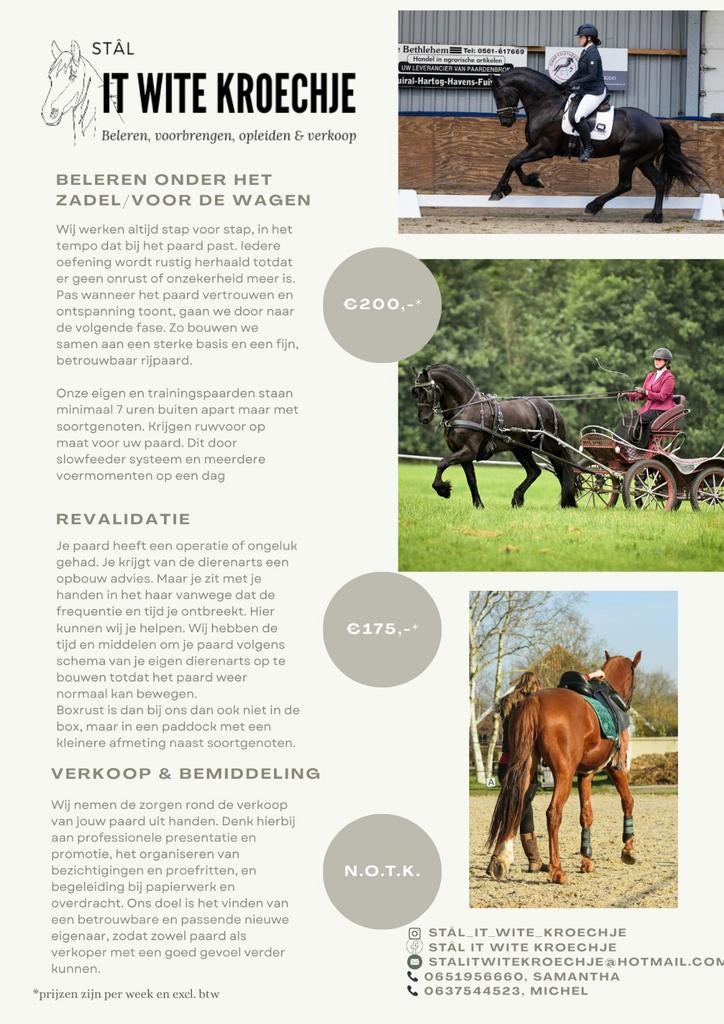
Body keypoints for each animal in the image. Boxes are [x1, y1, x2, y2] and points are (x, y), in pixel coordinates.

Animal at [411, 364, 578, 509]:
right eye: (416, 392)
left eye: (428, 390)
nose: (423, 418)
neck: (465, 409)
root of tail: (552, 408)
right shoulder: (463, 454)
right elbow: (471, 480)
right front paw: (478, 505)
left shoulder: (468, 451)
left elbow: (442, 463)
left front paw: (443, 489)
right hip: (520, 449)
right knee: (534, 471)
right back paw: (517, 498)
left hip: (552, 447)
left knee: (561, 469)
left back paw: (567, 503)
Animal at [487, 651, 641, 885]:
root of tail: (534, 701)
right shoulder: (616, 768)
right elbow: (628, 802)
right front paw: (628, 849)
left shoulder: (585, 774)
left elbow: (586, 814)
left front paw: (586, 859)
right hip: (563, 774)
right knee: (553, 813)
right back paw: (556, 869)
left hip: (526, 768)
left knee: (515, 805)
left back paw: (501, 860)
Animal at [489, 67, 703, 223]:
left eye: (501, 95)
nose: (505, 122)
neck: (547, 106)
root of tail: (657, 123)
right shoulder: (534, 146)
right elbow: (514, 162)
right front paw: (531, 181)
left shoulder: (544, 149)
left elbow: (514, 161)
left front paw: (498, 192)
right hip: (644, 160)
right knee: (659, 182)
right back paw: (654, 216)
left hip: (629, 157)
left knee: (625, 184)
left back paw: (593, 206)